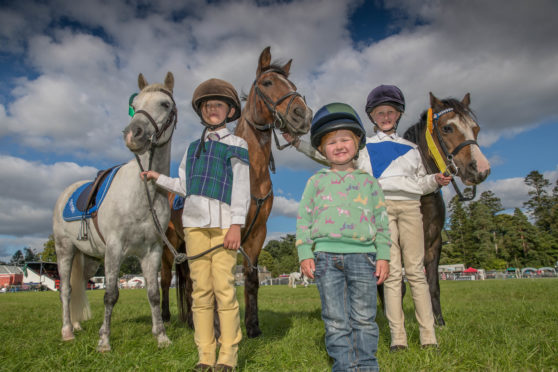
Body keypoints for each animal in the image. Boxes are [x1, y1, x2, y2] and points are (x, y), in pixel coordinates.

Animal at [160, 47, 312, 338]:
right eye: (268, 82)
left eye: (292, 84)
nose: (304, 115)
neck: (250, 174)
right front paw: (220, 331)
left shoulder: (257, 233)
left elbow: (251, 278)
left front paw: (252, 326)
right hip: (170, 244)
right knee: (164, 279)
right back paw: (164, 319)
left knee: (189, 282)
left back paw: (192, 322)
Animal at [404, 91, 492, 324]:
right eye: (447, 128)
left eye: (476, 128)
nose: (481, 169)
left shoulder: (434, 243)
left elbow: (432, 286)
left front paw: (438, 322)